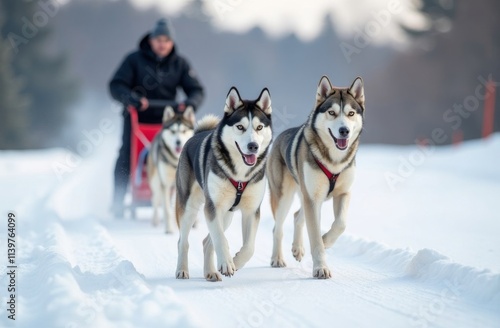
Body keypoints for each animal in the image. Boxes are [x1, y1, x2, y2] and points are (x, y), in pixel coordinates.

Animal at [174, 87, 272, 282]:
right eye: (240, 127)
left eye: (259, 127)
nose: (253, 146)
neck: (240, 174)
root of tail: (195, 135)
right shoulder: (213, 207)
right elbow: (220, 238)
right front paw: (227, 263)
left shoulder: (251, 210)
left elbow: (249, 247)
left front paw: (237, 261)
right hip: (190, 207)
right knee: (183, 241)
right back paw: (182, 270)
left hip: (227, 214)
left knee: (206, 242)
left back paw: (211, 272)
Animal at [268, 75, 366, 278]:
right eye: (332, 112)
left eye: (351, 113)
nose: (344, 130)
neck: (334, 161)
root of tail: (279, 137)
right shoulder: (313, 199)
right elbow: (315, 239)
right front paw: (321, 268)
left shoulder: (342, 193)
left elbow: (341, 223)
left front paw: (326, 240)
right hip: (284, 197)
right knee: (277, 228)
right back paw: (277, 259)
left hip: (307, 196)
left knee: (297, 216)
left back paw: (297, 248)